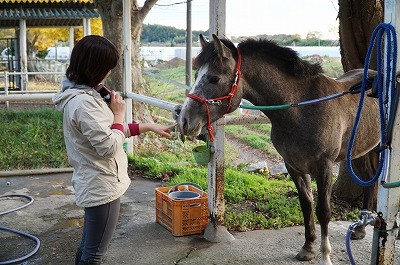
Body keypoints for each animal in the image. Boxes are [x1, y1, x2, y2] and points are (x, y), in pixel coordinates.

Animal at [177, 34, 380, 262]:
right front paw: (308, 248)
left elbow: (324, 211)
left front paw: (325, 255)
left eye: (214, 78)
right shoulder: (293, 166)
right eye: (196, 75)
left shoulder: (324, 167)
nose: (183, 120)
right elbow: (306, 205)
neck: (301, 109)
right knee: (369, 180)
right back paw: (360, 229)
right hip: (360, 150)